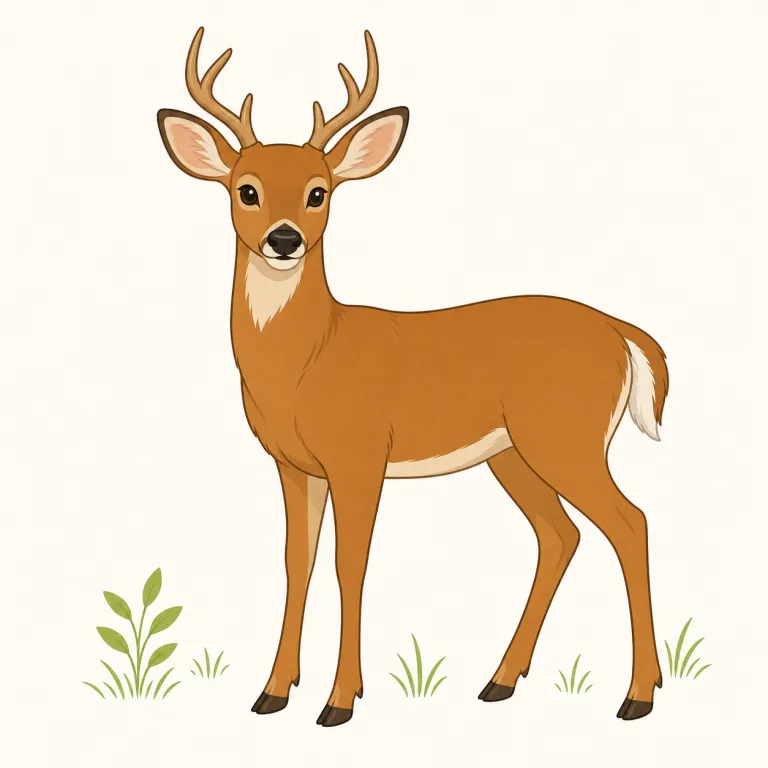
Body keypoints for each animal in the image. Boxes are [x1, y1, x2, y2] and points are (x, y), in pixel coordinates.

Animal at [157, 27, 669, 727]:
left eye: (319, 191)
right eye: (247, 189)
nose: (284, 240)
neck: (308, 361)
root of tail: (622, 333)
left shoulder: (360, 454)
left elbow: (350, 564)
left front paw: (339, 701)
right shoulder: (293, 463)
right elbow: (297, 564)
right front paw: (272, 692)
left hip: (568, 437)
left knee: (629, 522)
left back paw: (637, 695)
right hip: (513, 453)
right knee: (560, 535)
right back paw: (500, 681)